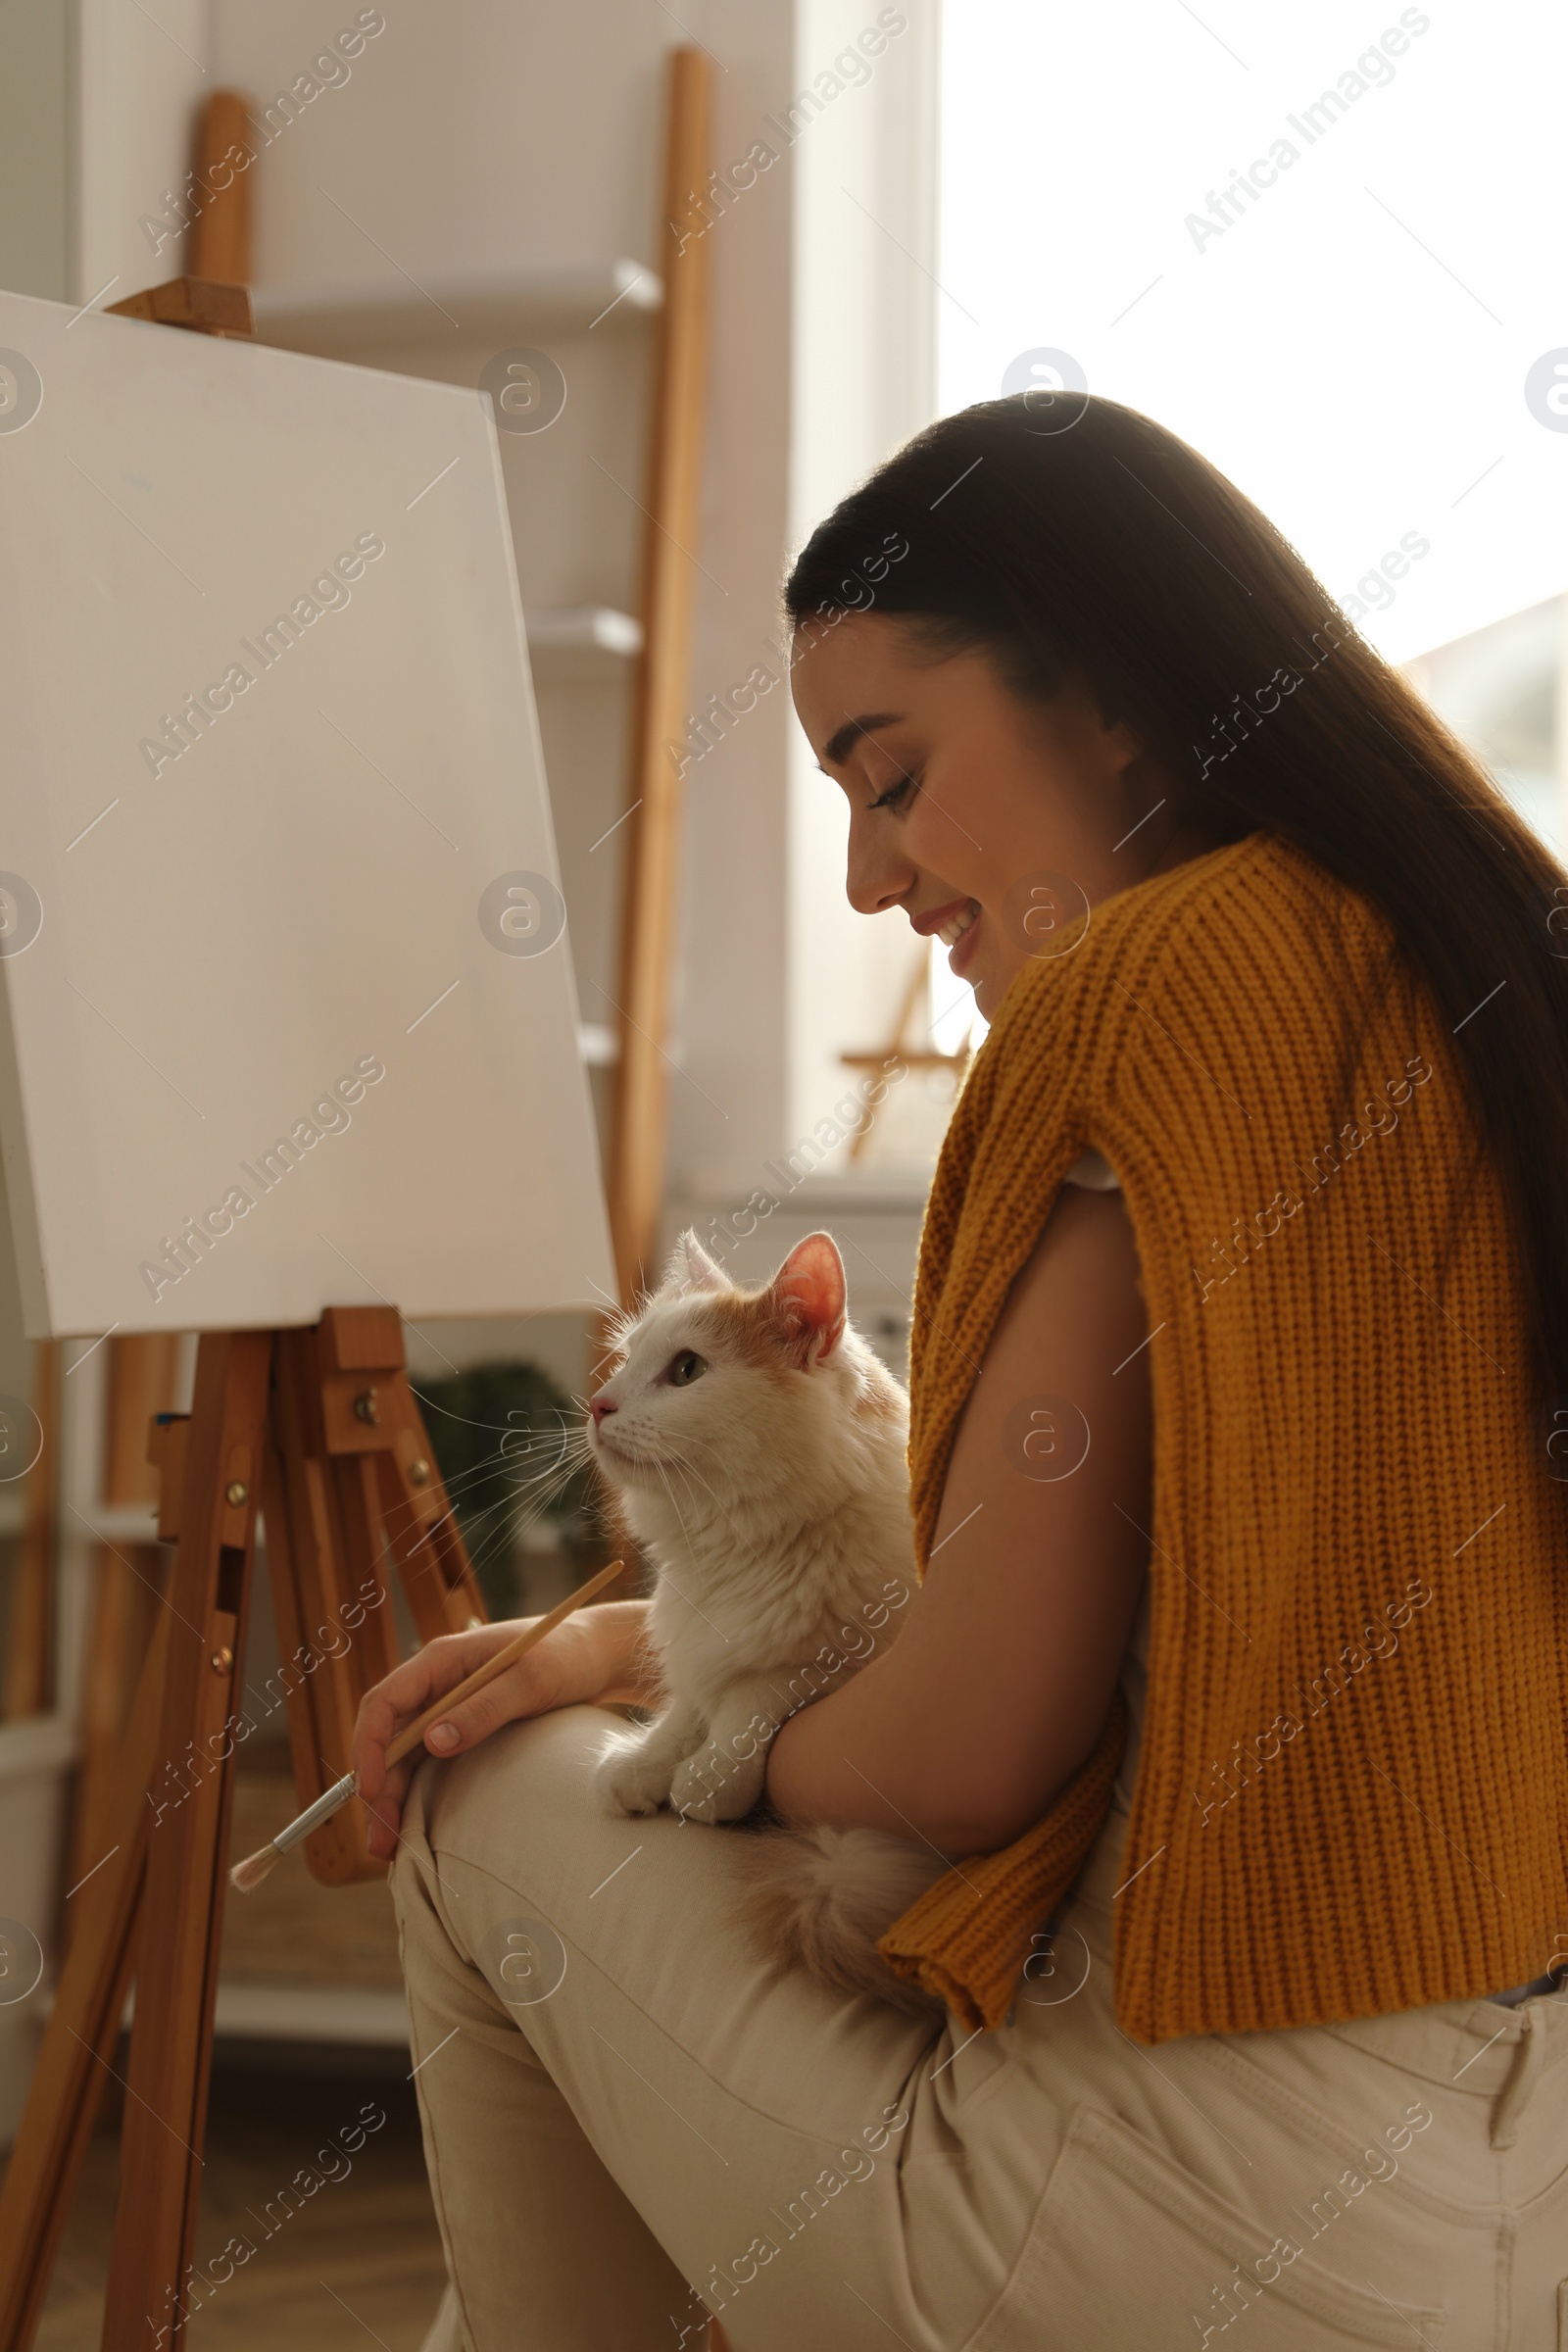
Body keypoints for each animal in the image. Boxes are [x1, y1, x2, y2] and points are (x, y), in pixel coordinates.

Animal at [585, 1223, 945, 2013]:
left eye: (686, 1370)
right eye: (627, 1361)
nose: (595, 1404)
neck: (732, 1552)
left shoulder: (847, 1658)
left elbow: (756, 1693)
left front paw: (702, 1778)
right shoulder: (693, 1645)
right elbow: (686, 1706)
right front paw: (644, 1762)